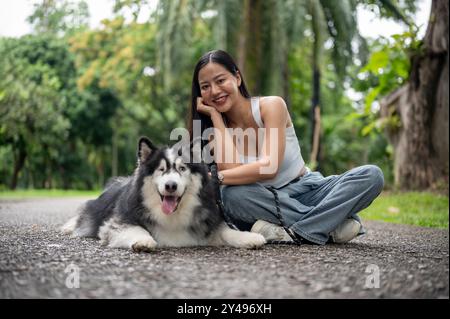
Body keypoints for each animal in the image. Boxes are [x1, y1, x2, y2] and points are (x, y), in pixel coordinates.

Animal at [59, 138, 264, 252]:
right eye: (161, 169)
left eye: (182, 169)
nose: (171, 186)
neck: (172, 215)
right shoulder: (116, 223)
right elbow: (136, 229)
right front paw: (143, 241)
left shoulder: (207, 224)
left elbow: (227, 231)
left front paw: (249, 237)